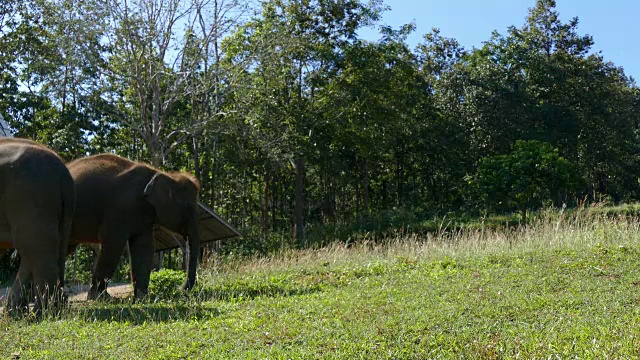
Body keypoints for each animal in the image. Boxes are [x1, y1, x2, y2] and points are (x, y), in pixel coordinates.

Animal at [67, 153, 200, 300]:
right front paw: (100, 297)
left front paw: (142, 298)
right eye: (188, 208)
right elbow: (113, 246)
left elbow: (143, 248)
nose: (179, 288)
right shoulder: (119, 209)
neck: (160, 173)